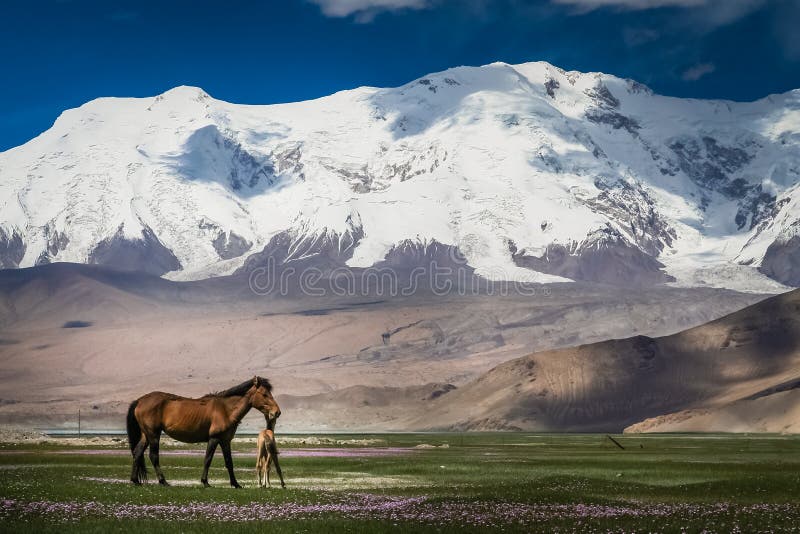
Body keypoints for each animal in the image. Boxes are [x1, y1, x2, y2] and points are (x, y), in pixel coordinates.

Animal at [126, 376, 282, 490]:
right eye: (265, 394)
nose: (277, 412)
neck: (226, 409)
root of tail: (139, 401)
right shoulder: (214, 438)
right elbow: (207, 459)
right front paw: (205, 482)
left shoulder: (225, 441)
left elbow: (229, 462)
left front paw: (235, 484)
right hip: (153, 435)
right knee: (153, 456)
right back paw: (163, 481)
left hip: (146, 435)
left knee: (137, 452)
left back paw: (135, 480)